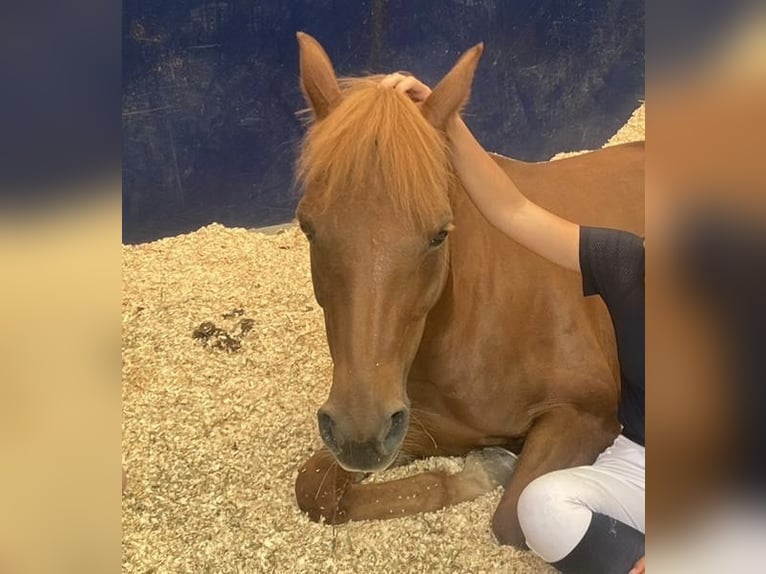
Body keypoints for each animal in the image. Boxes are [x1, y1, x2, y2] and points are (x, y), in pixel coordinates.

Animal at [292, 31, 644, 547]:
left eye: (440, 233)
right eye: (308, 228)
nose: (360, 431)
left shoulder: (587, 414)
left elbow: (510, 517)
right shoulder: (417, 428)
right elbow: (316, 490)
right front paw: (481, 471)